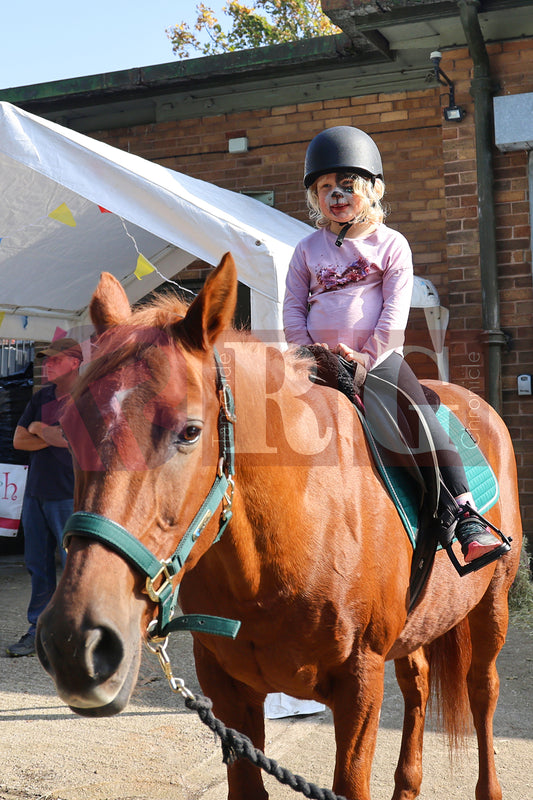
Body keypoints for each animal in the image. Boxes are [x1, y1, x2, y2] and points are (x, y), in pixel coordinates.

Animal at [37, 255, 520, 800]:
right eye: (70, 432)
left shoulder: (359, 687)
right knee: (416, 682)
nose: (75, 642)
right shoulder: (228, 692)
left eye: (190, 431)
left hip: (492, 605)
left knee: (482, 690)